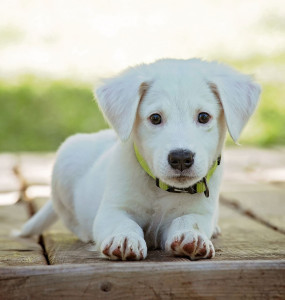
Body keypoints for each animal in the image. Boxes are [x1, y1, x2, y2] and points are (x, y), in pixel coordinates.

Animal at [19, 58, 260, 260]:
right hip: (65, 162)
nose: (181, 158)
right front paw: (124, 238)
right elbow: (123, 223)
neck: (160, 189)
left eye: (203, 117)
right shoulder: (113, 209)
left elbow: (189, 220)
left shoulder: (199, 212)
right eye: (155, 118)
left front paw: (192, 236)